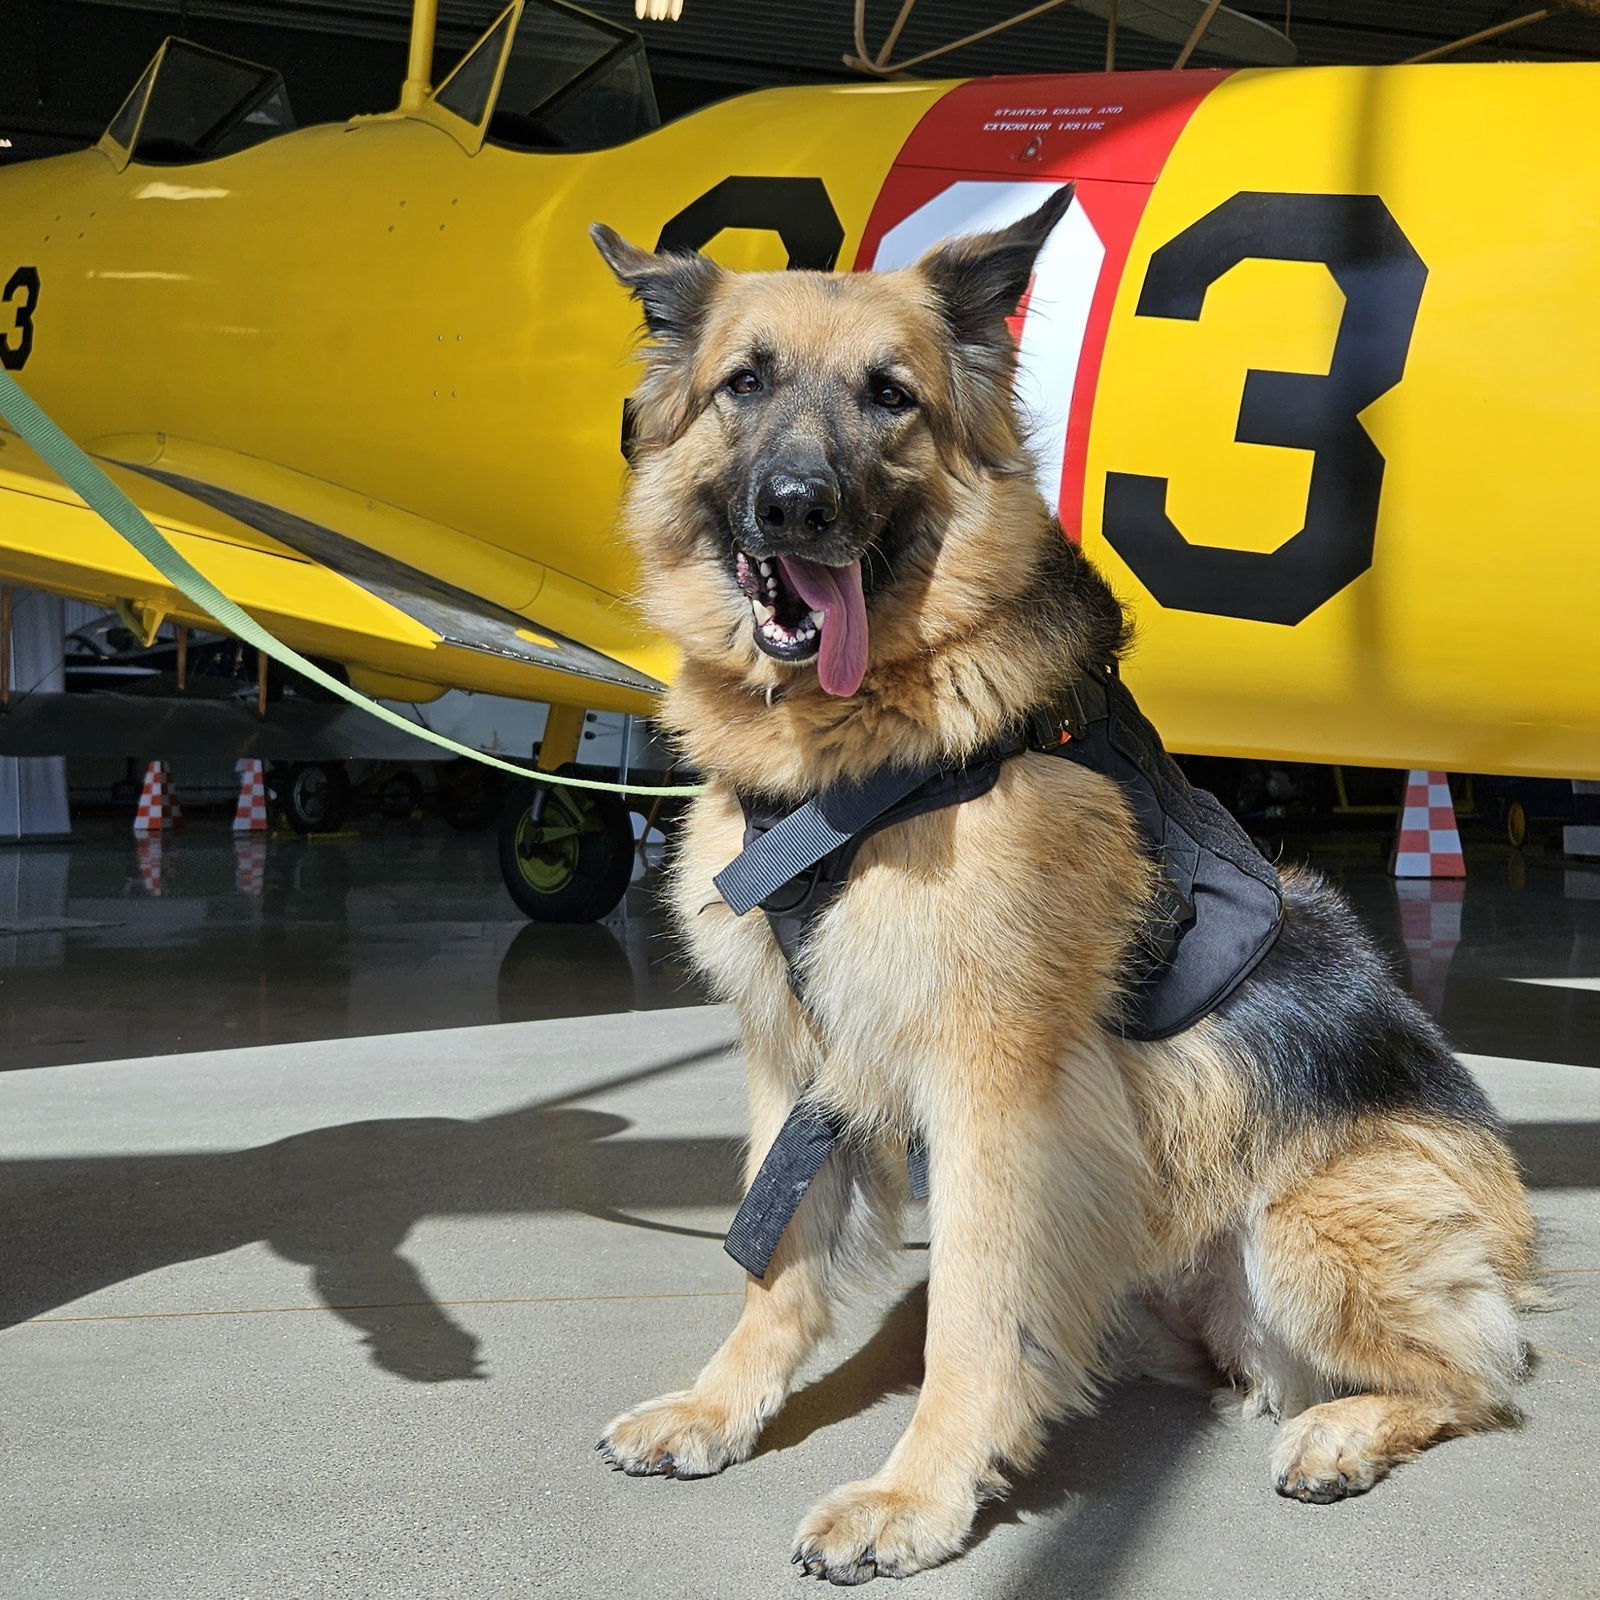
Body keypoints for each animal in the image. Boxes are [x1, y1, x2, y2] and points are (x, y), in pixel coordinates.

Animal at [588, 184, 1536, 1574]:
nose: (796, 507)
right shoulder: (795, 1058)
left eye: (890, 396)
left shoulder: (995, 1088)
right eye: (742, 385)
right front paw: (722, 1407)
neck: (862, 747)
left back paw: (1342, 1432)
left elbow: (969, 1314)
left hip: (1315, 1220)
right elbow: (779, 1260)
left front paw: (915, 1495)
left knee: (1477, 1379)